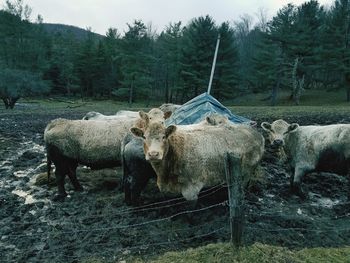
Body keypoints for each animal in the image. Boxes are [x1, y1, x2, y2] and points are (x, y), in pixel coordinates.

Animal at [130, 112, 264, 203]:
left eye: (164, 137)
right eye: (144, 137)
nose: (153, 154)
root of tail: (255, 132)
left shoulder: (192, 189)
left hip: (246, 173)